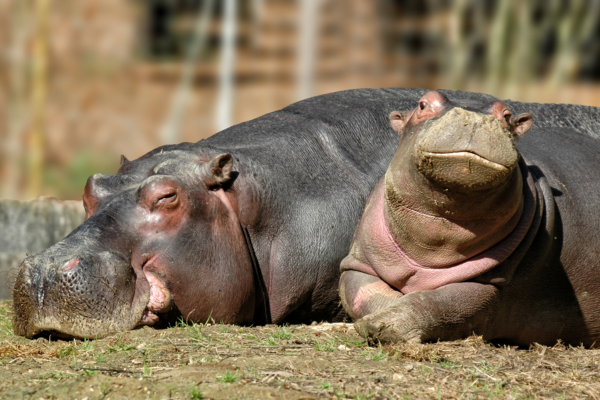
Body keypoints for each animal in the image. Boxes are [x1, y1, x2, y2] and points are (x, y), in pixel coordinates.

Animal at [338, 90, 600, 346]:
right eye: (423, 104)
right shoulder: (359, 264)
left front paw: (381, 326)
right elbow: (365, 293)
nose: (473, 117)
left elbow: (436, 303)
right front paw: (374, 322)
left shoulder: (491, 284)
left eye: (506, 115)